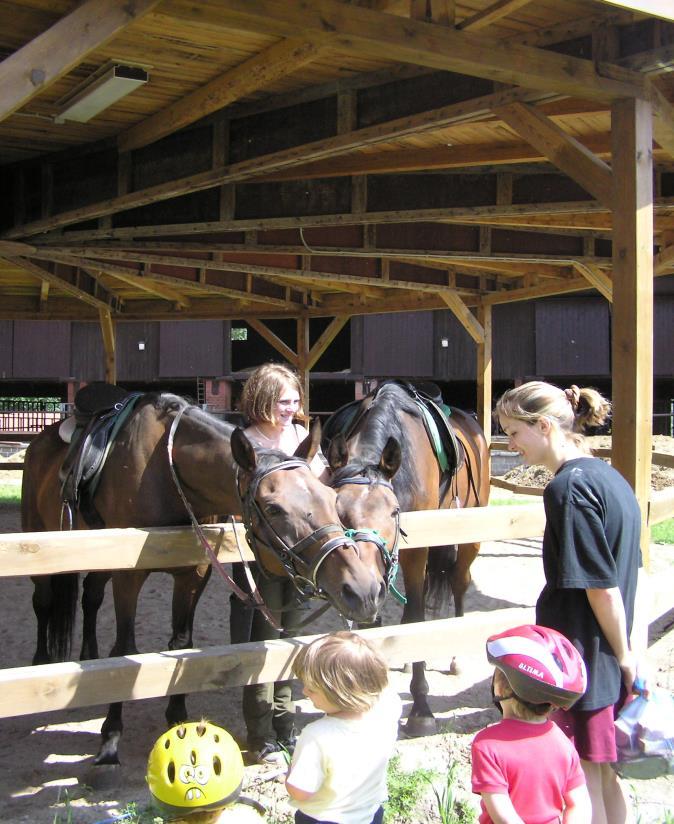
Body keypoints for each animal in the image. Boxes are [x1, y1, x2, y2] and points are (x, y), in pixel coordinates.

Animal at [21, 392, 384, 768]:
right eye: (273, 508)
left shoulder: (193, 573)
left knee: (90, 598)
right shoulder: (129, 575)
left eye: (330, 498)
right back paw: (42, 661)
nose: (362, 590)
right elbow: (123, 650)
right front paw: (110, 738)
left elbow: (182, 645)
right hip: (40, 541)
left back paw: (89, 656)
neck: (166, 471)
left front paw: (178, 720)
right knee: (44, 602)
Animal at [322, 384, 488, 736]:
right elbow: (375, 621)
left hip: (470, 535)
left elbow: (417, 615)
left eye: (394, 511)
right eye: (335, 507)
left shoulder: (415, 552)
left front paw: (421, 708)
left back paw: (454, 655)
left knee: (458, 584)